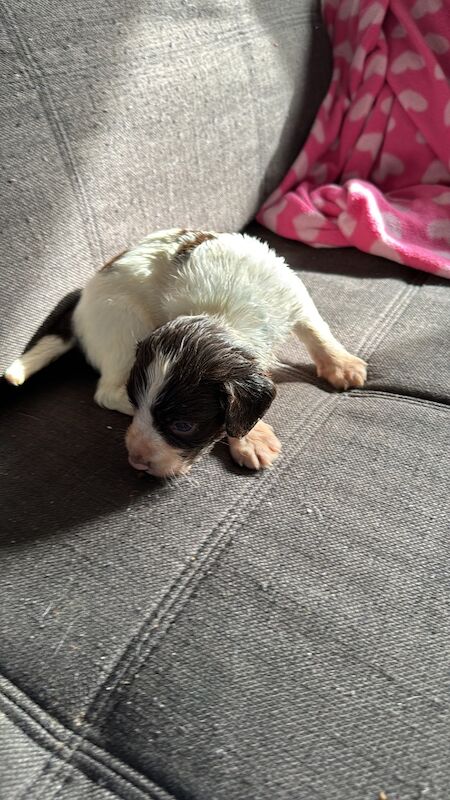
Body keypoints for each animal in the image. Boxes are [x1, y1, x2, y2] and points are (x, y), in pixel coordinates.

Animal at [4, 227, 366, 476]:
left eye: (183, 426)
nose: (137, 463)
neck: (222, 313)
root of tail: (78, 305)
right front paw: (253, 437)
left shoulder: (292, 295)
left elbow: (317, 330)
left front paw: (340, 364)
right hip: (123, 325)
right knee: (106, 391)